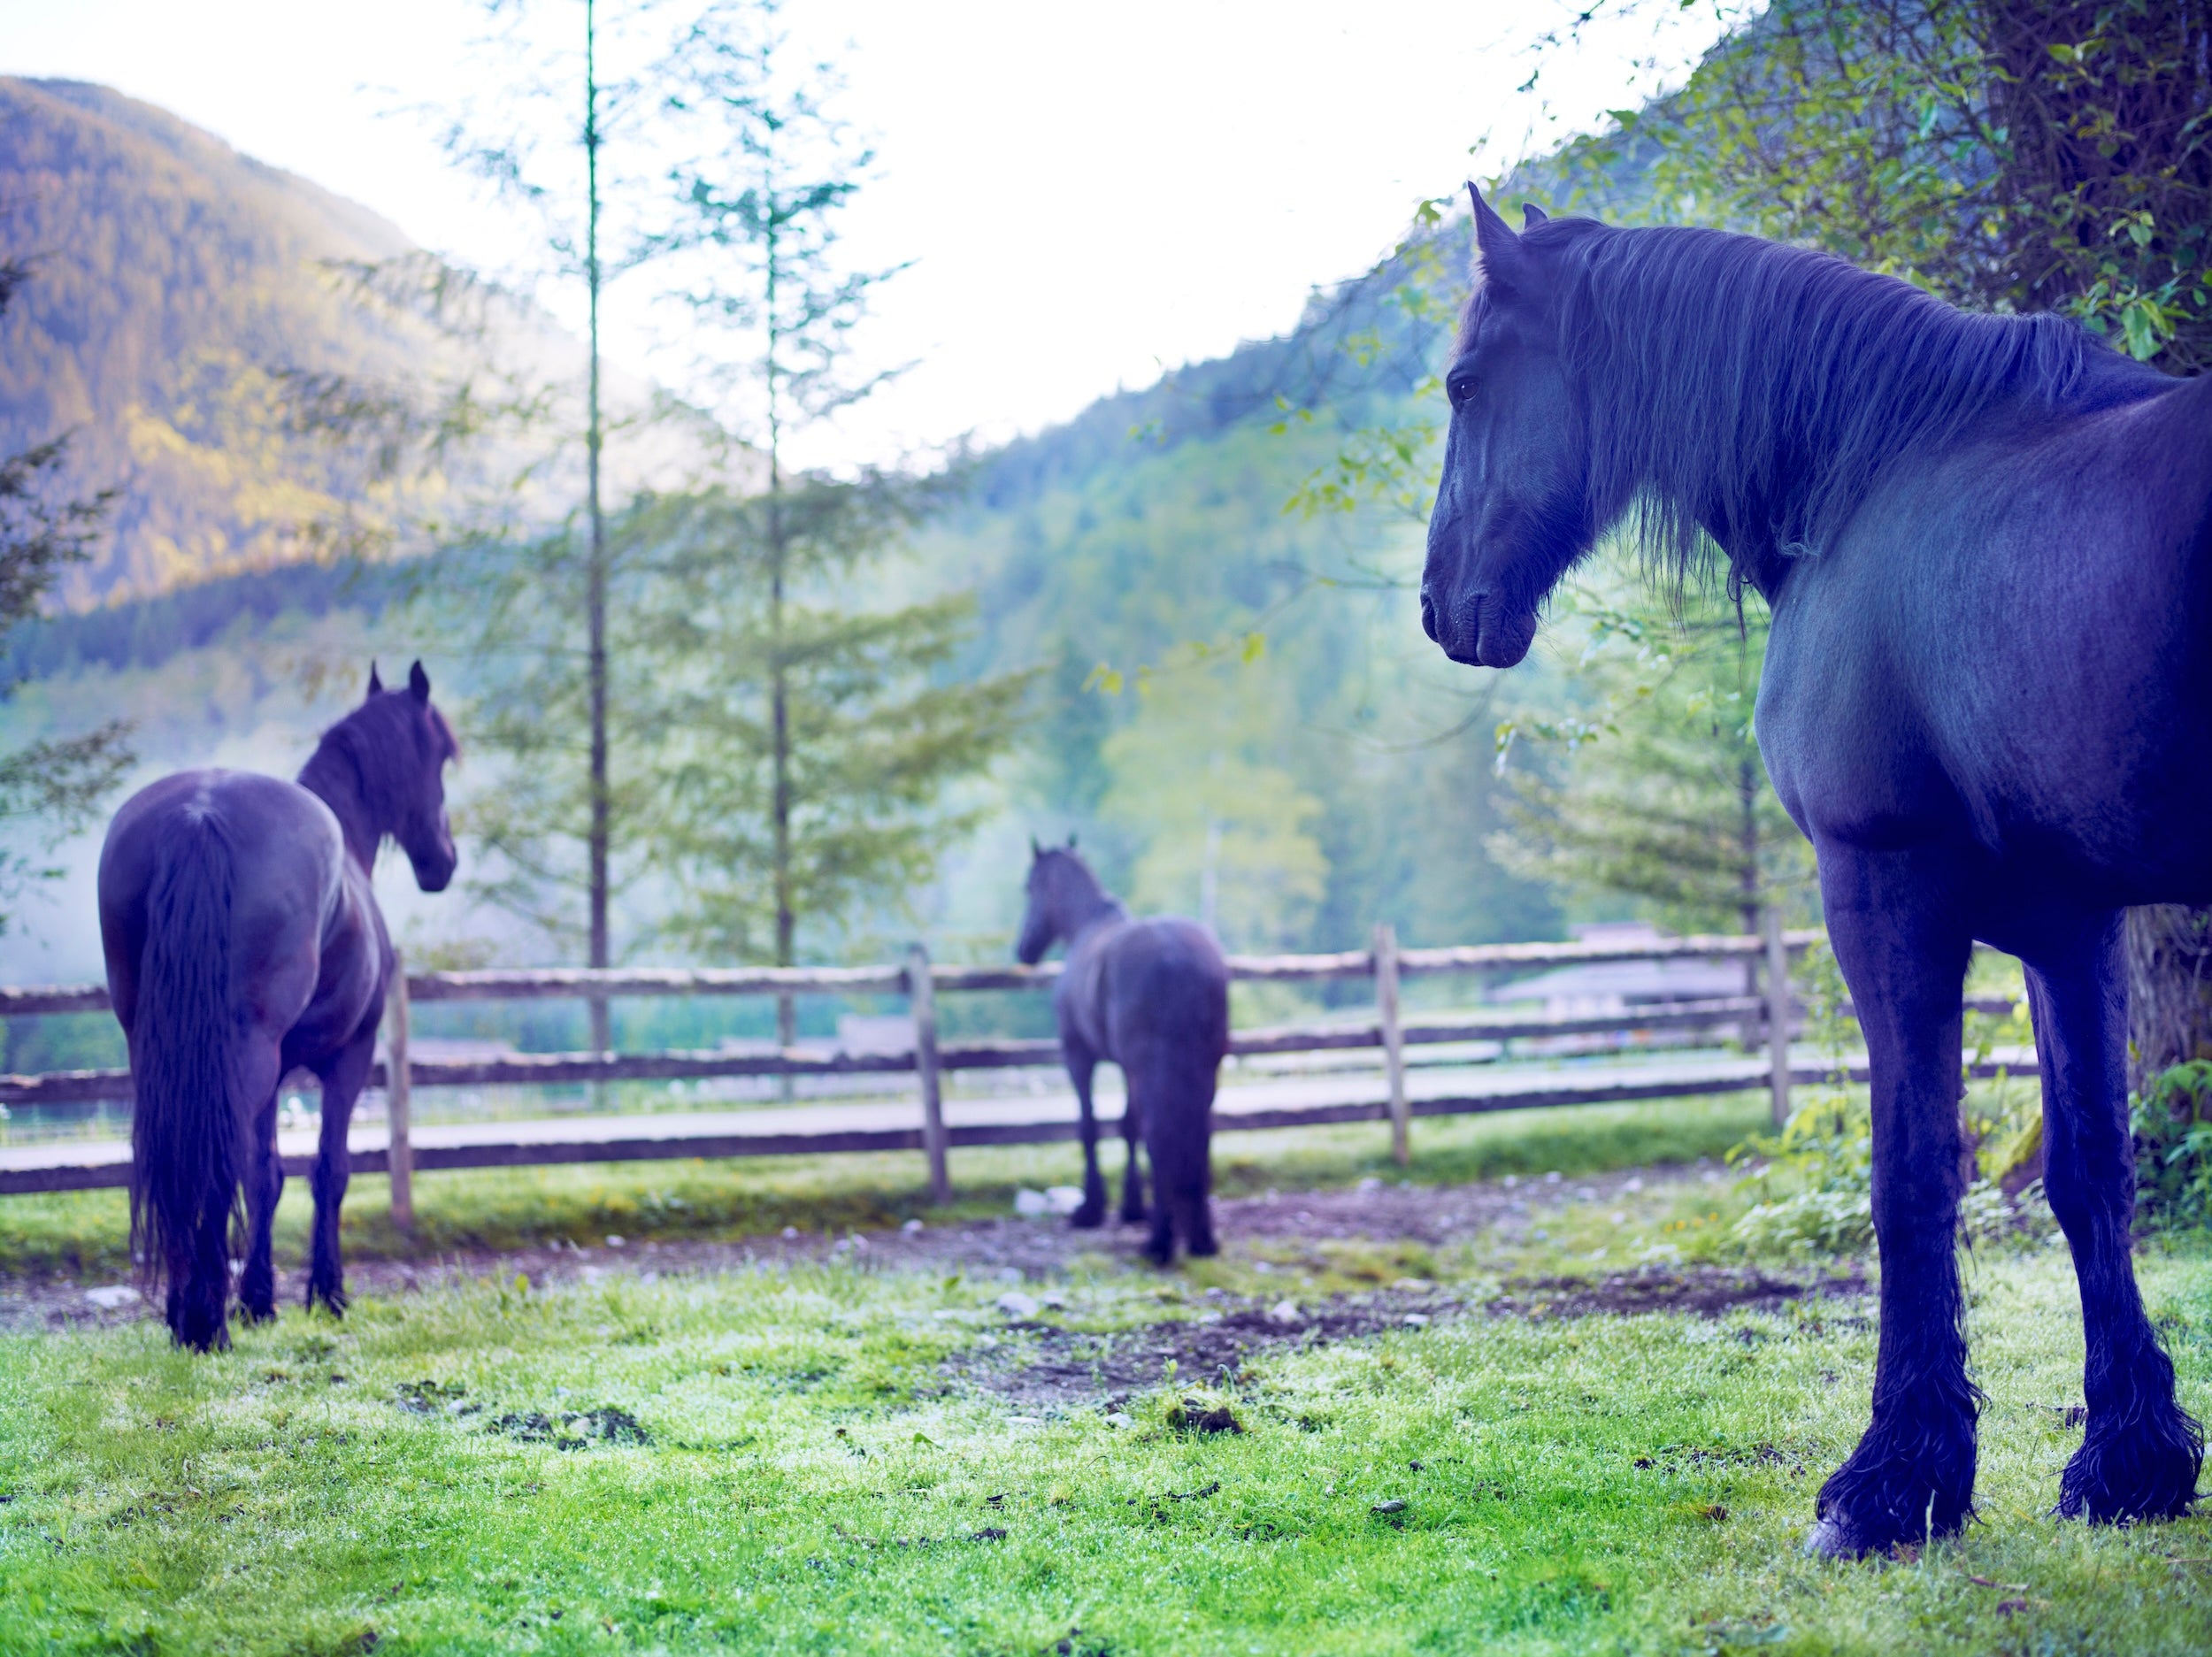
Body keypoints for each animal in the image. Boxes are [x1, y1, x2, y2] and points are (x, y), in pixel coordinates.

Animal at [96, 662, 459, 1351]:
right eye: (443, 757)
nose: (444, 861)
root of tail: (199, 814)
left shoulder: (277, 1074)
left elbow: (264, 1174)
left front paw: (260, 1301)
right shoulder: (349, 1058)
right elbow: (327, 1171)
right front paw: (327, 1294)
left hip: (161, 1050)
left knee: (180, 1157)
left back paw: (185, 1311)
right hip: (247, 1053)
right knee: (212, 1162)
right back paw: (204, 1322)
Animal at [1015, 839, 1230, 1264]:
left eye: (1029, 888)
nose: (1024, 949)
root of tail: (1179, 959)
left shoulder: (1078, 1055)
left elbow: (1090, 1126)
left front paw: (1090, 1210)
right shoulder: (1127, 1068)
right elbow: (1127, 1126)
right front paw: (1132, 1207)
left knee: (1158, 1131)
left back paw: (1160, 1241)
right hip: (1204, 1066)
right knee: (1197, 1131)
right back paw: (1200, 1237)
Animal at [1421, 187, 2209, 1555]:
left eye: (1467, 384)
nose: (1436, 603)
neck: (1875, 477)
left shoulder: (1880, 889)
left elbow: (1912, 1178)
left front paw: (1893, 1480)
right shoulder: (2070, 926)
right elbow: (2089, 1172)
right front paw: (2129, 1460)